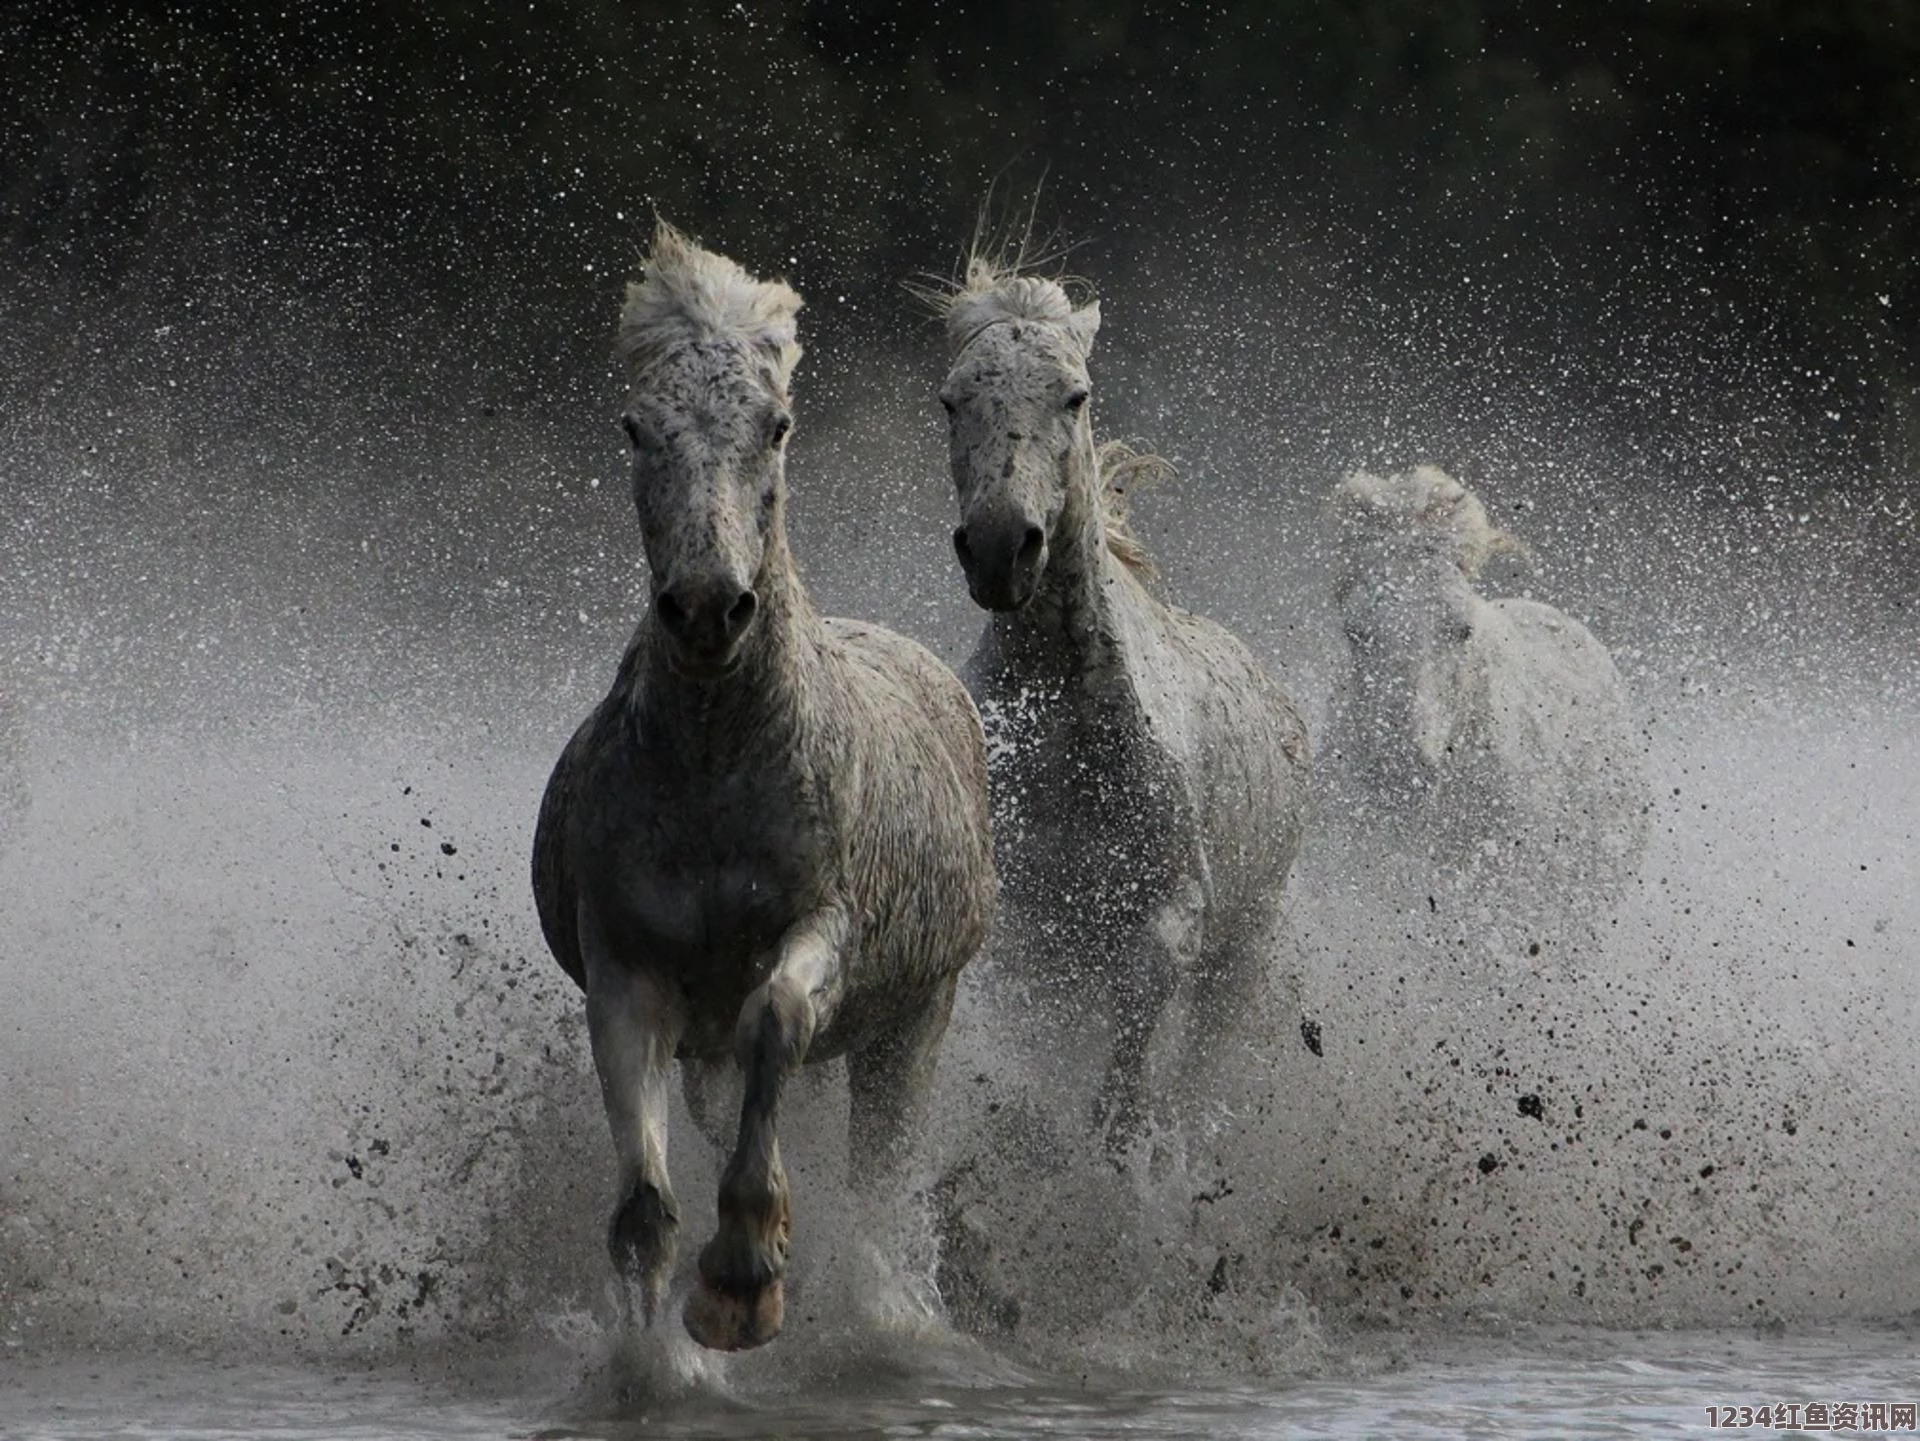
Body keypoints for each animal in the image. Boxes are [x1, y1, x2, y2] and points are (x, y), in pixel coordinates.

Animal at [533, 222, 998, 1350]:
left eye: (776, 424)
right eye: (636, 428)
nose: (709, 608)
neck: (717, 766)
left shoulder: (821, 927)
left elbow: (778, 1022)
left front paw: (743, 1280)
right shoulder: (626, 974)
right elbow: (643, 1208)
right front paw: (660, 1357)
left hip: (914, 1019)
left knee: (880, 1167)